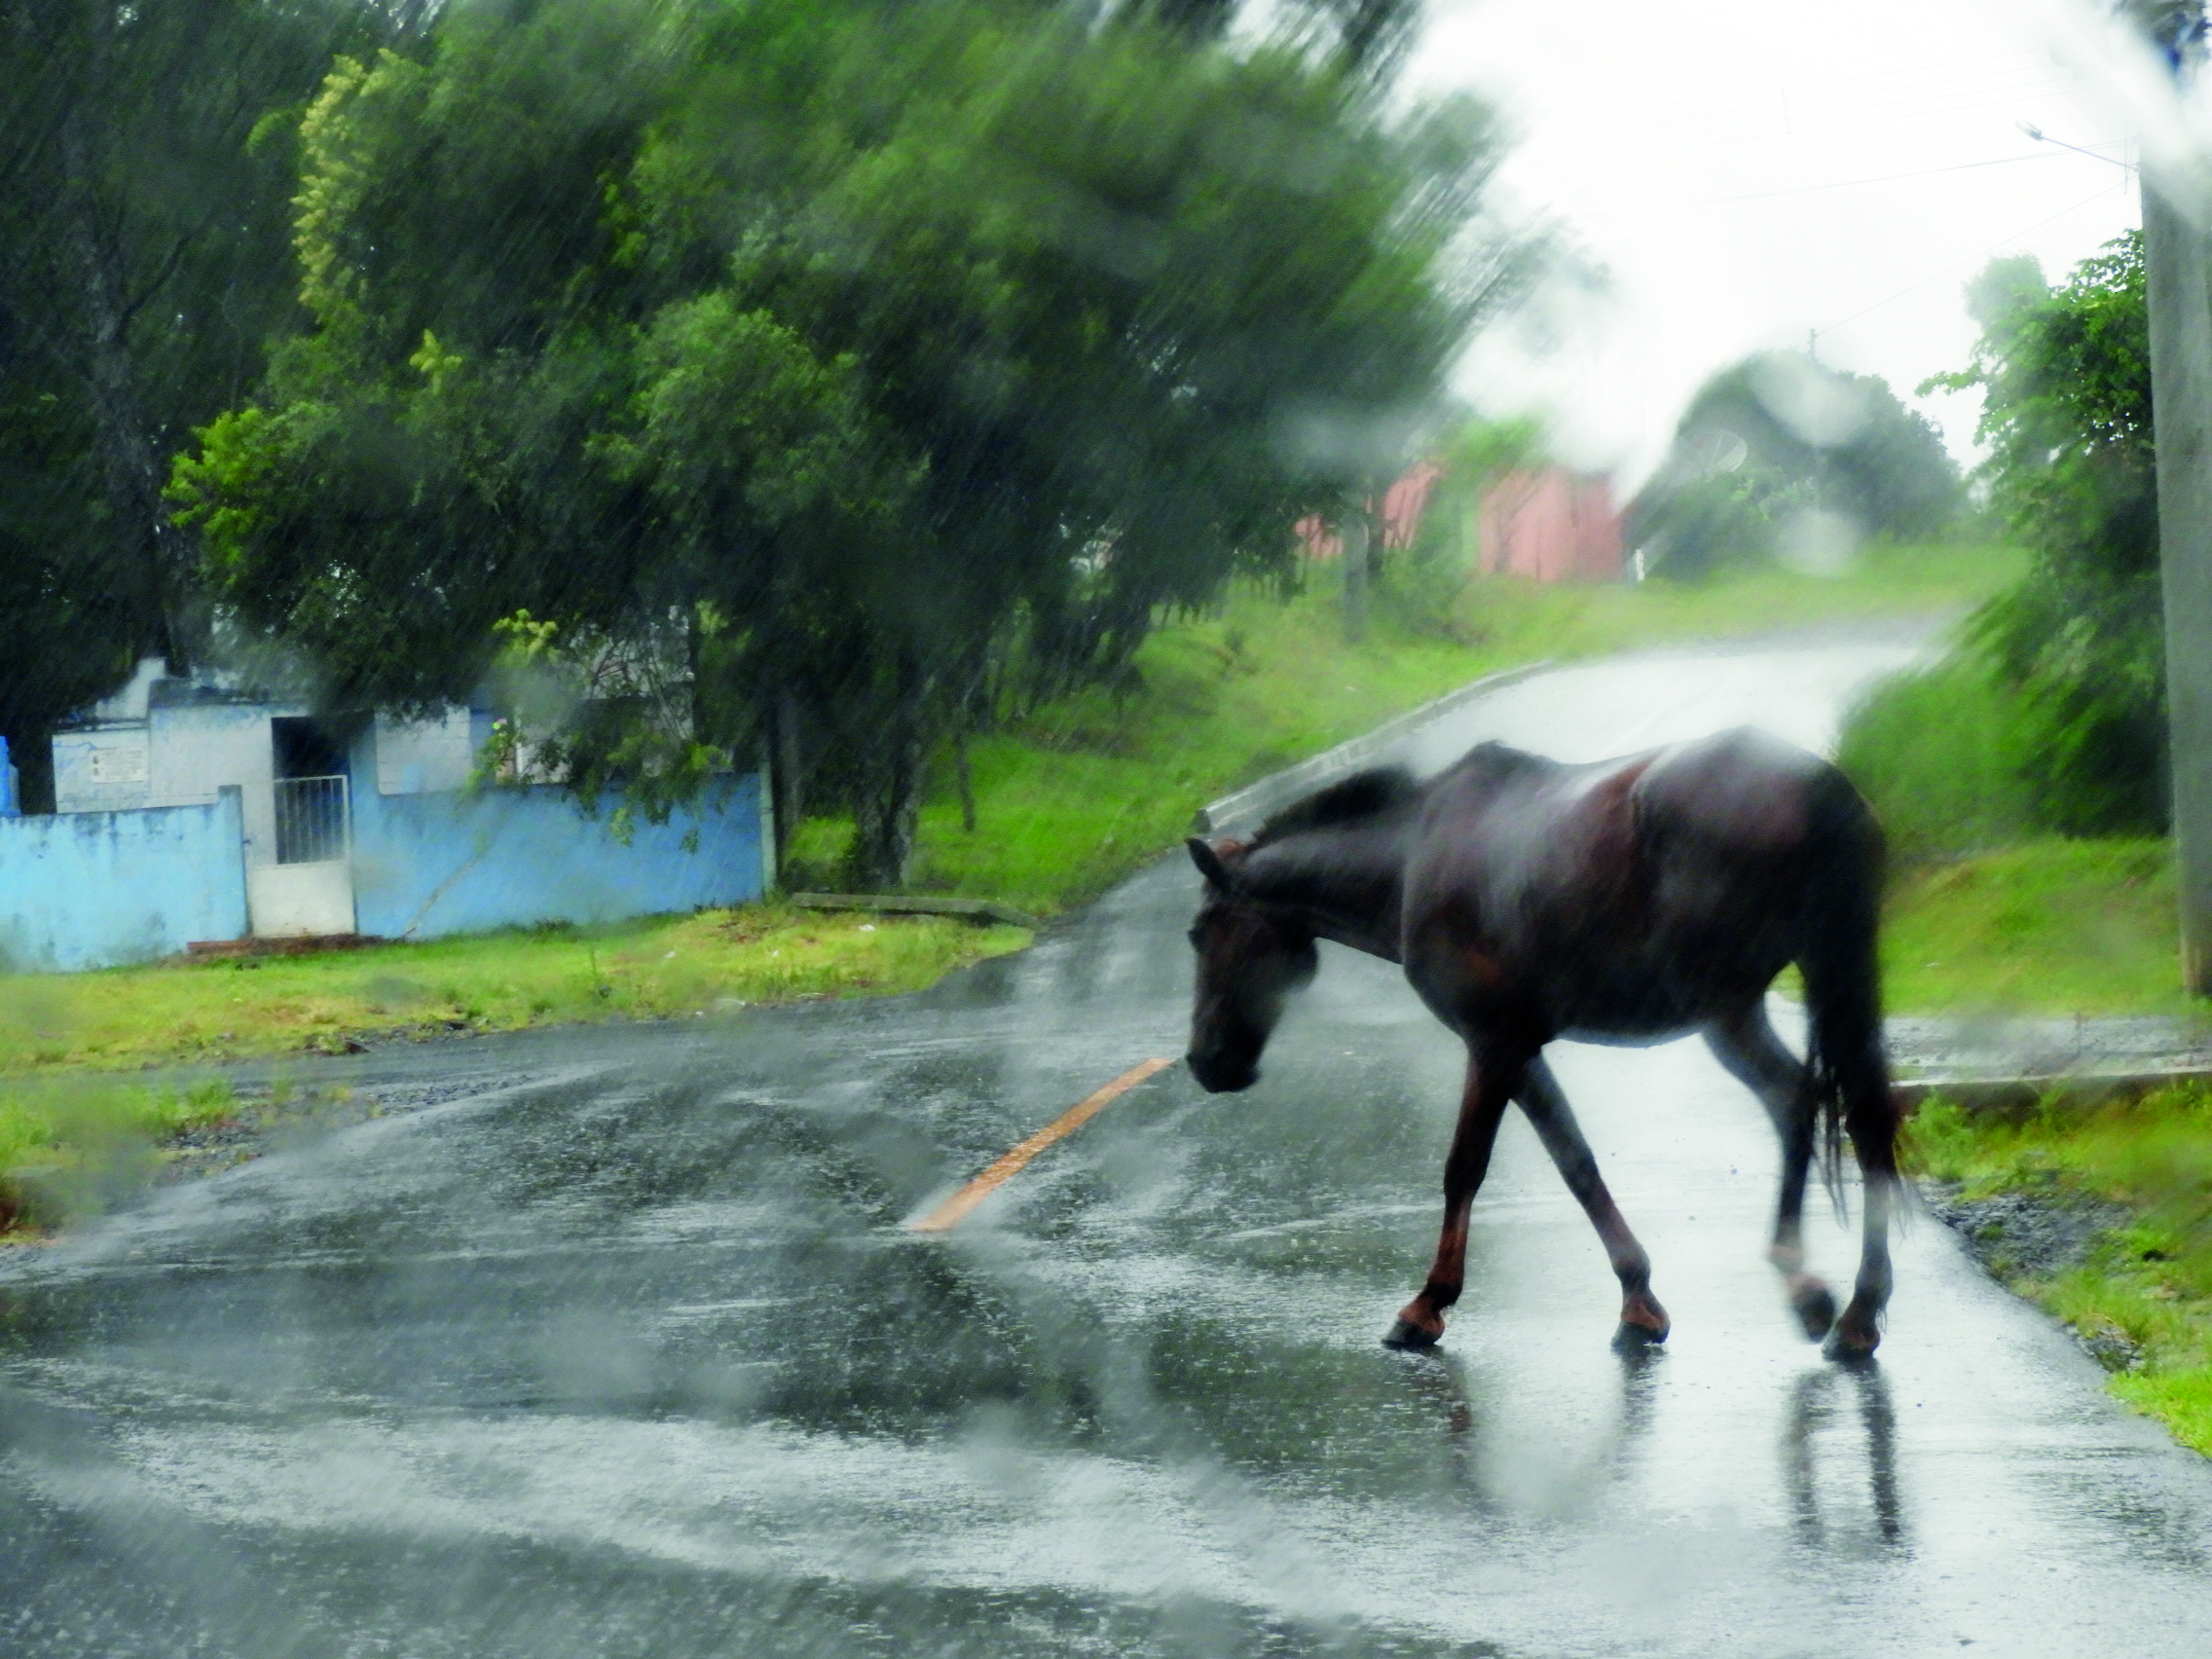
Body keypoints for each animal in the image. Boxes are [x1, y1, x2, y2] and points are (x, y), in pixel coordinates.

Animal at [1194, 729, 1901, 1362]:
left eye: (1199, 931)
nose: (1206, 1061)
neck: (1407, 861)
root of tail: (1817, 784)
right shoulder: (1522, 1048)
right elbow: (1576, 1163)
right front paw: (1638, 1300)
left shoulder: (1492, 1042)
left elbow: (1465, 1167)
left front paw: (1427, 1305)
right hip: (1767, 999)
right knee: (1819, 1104)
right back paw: (1821, 1295)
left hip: (1751, 1000)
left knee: (1829, 1107)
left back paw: (1847, 1307)